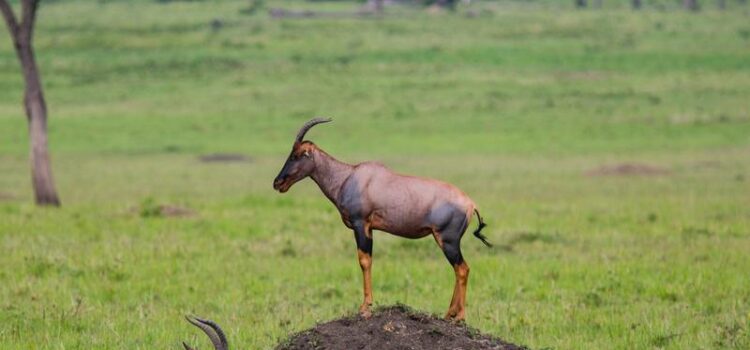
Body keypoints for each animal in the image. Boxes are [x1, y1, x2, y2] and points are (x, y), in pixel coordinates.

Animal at [274, 117, 490, 320]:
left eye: (296, 155)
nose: (277, 183)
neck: (349, 177)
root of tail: (470, 204)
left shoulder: (361, 225)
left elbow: (364, 261)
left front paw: (365, 306)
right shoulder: (369, 228)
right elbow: (368, 260)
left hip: (448, 240)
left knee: (462, 269)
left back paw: (459, 316)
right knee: (460, 269)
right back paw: (449, 314)